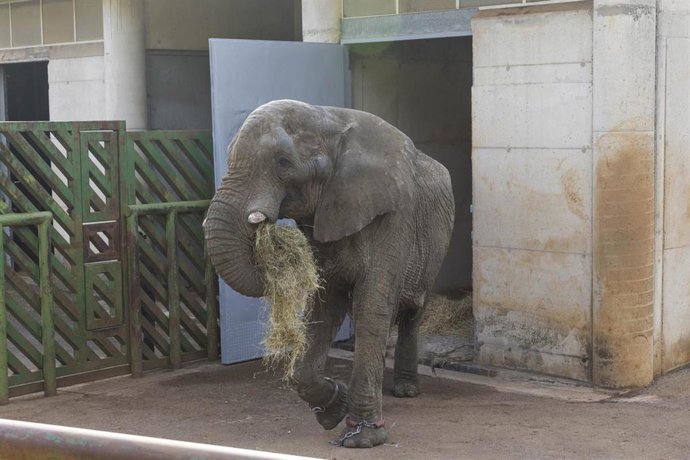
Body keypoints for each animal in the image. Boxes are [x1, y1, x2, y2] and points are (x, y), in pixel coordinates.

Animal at [204, 100, 455, 448]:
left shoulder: (395, 216)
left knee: (411, 312)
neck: (328, 119)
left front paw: (362, 438)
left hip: (435, 248)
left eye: (282, 162)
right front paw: (335, 408)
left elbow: (371, 307)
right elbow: (324, 305)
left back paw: (405, 391)